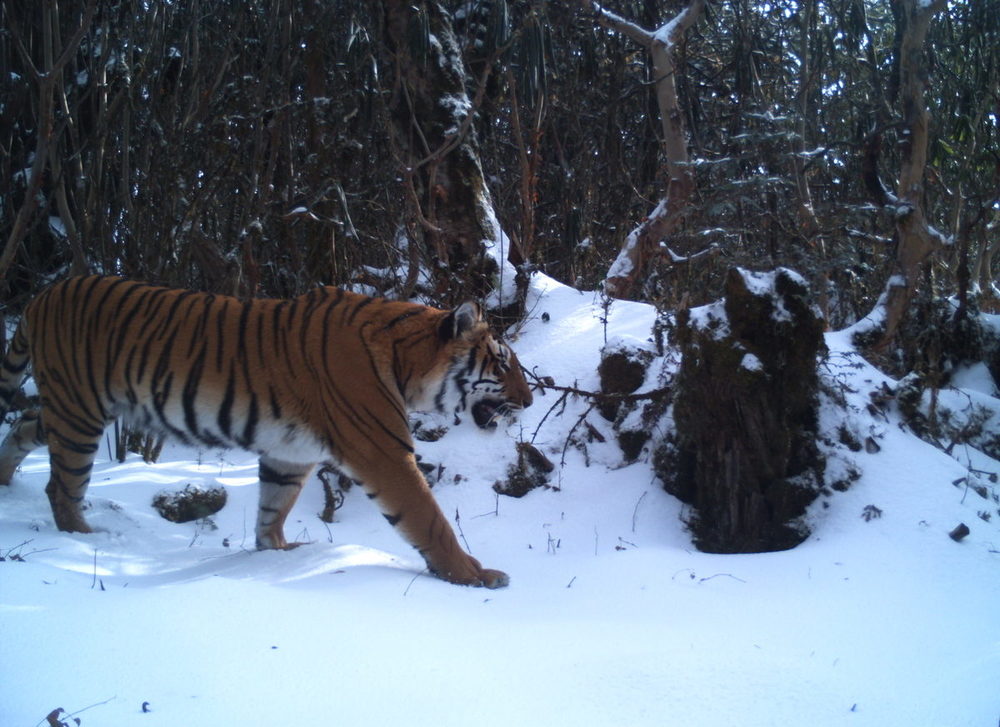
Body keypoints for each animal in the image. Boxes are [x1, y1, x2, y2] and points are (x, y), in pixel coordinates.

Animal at [0, 276, 536, 588]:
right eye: (502, 363)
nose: (531, 401)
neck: (407, 363)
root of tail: (41, 295)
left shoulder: (290, 451)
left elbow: (273, 506)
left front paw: (275, 554)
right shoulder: (383, 452)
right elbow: (429, 520)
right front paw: (474, 574)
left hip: (68, 407)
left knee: (23, 428)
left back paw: (5, 484)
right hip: (80, 413)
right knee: (62, 486)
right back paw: (87, 539)